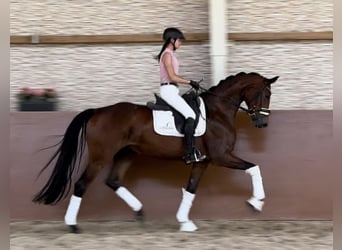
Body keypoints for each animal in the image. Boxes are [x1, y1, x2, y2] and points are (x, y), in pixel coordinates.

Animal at [31, 72, 278, 232]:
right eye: (266, 94)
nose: (262, 123)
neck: (217, 112)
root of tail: (98, 111)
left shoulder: (202, 162)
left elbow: (191, 189)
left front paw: (185, 222)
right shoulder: (220, 157)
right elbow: (254, 168)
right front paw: (256, 203)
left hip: (126, 154)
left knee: (113, 181)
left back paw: (139, 211)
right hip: (101, 157)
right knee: (82, 184)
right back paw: (72, 225)